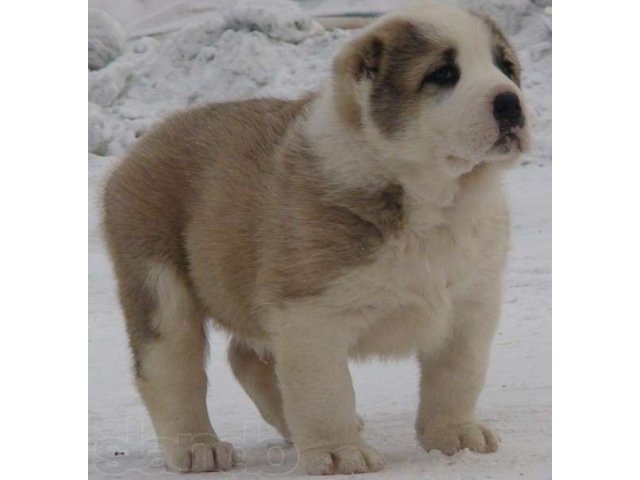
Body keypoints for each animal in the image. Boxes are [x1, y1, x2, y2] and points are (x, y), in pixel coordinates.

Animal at [102, 0, 532, 472]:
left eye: (506, 67)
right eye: (443, 73)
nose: (511, 104)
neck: (433, 198)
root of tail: (146, 141)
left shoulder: (471, 304)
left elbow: (458, 374)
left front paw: (454, 434)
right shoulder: (310, 313)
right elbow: (326, 391)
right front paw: (339, 453)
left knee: (248, 360)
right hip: (158, 282)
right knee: (170, 368)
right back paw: (197, 447)